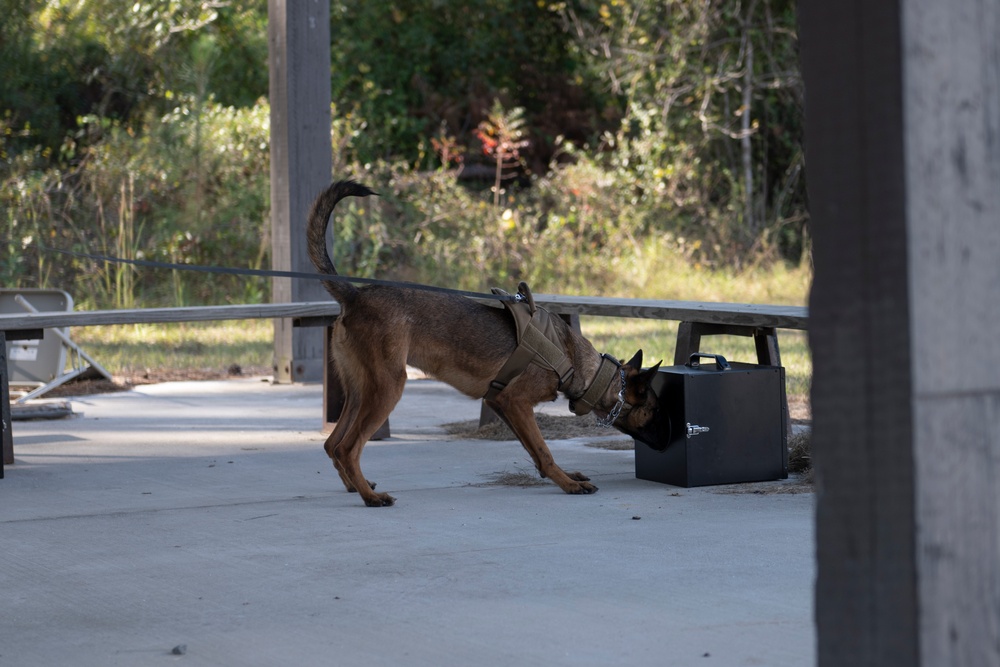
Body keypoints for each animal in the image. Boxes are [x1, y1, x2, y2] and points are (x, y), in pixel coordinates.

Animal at [304, 180, 664, 508]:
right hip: (388, 387)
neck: (576, 361)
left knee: (333, 444)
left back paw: (356, 486)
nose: (666, 444)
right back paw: (370, 496)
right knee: (348, 447)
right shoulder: (517, 403)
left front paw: (566, 476)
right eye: (652, 409)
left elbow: (535, 452)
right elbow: (544, 450)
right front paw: (568, 484)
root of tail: (355, 295)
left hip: (359, 390)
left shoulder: (501, 404)